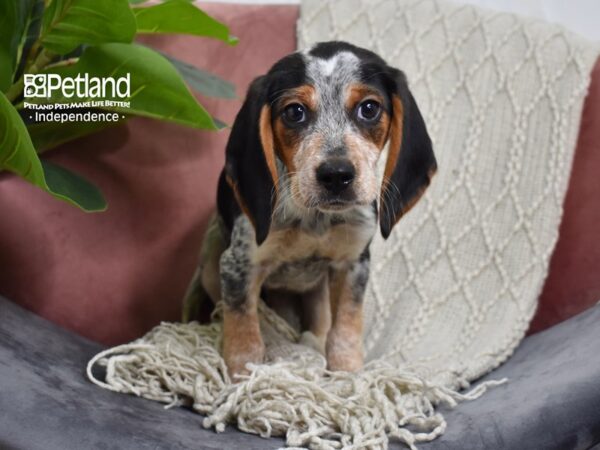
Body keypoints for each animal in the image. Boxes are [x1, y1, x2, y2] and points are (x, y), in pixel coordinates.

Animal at [183, 42, 436, 378]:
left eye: (369, 108)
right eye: (294, 112)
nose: (336, 175)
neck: (316, 220)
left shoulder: (353, 263)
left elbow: (344, 330)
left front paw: (347, 374)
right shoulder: (239, 265)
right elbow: (244, 336)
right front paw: (243, 376)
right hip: (212, 262)